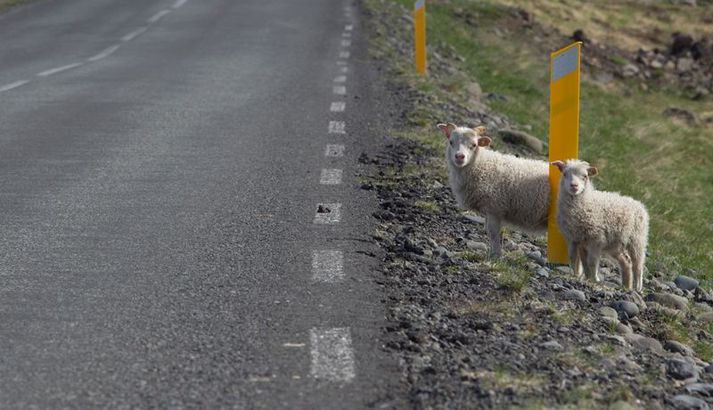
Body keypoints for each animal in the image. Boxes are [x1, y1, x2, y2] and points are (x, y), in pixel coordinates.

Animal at [434, 121, 552, 256]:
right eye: (451, 142)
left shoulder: (494, 207)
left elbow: (493, 233)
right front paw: (492, 253)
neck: (482, 165)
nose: (460, 157)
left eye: (474, 145)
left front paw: (495, 255)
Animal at [552, 159, 652, 290]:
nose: (574, 186)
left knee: (638, 265)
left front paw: (595, 279)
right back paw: (626, 286)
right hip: (616, 245)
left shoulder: (596, 239)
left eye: (585, 176)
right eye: (564, 174)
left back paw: (637, 287)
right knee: (626, 262)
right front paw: (580, 276)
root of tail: (639, 204)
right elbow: (576, 259)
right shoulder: (575, 239)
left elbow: (592, 261)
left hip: (637, 240)